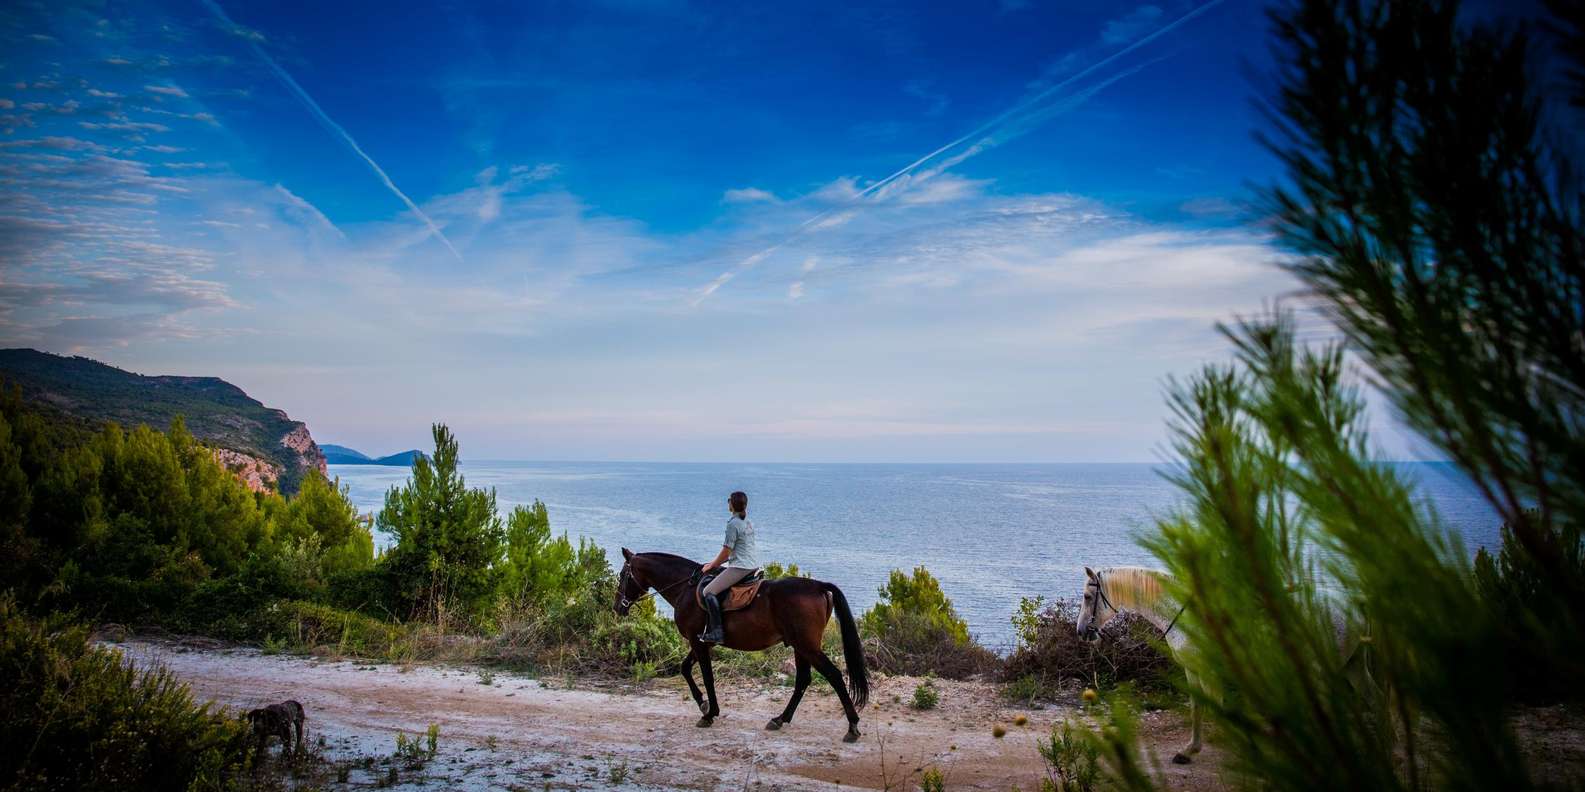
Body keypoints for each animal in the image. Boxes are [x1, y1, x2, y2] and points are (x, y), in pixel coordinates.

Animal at [614, 551, 868, 741]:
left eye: (623, 575)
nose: (618, 607)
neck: (686, 587)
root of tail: (819, 587)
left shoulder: (697, 642)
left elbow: (707, 677)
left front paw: (709, 713)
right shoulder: (703, 643)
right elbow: (685, 669)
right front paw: (704, 705)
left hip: (807, 646)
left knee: (834, 676)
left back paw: (852, 727)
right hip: (800, 646)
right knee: (803, 680)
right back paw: (779, 719)